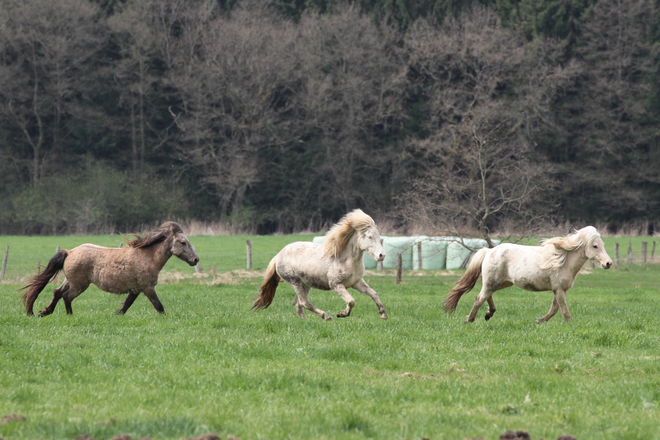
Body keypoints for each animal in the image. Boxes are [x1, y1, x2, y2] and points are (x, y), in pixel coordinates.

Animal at [21, 223, 200, 316]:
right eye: (183, 242)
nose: (195, 259)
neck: (147, 257)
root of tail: (69, 252)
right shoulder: (148, 288)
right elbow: (159, 307)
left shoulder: (135, 289)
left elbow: (126, 306)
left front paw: (116, 315)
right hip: (79, 285)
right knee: (66, 296)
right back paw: (69, 315)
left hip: (69, 281)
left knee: (57, 292)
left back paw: (44, 312)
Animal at [251, 208, 386, 322]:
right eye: (369, 236)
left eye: (379, 236)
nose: (382, 255)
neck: (346, 259)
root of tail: (278, 256)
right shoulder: (336, 284)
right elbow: (351, 301)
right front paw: (342, 314)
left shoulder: (356, 282)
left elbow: (374, 293)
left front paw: (383, 314)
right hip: (296, 283)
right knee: (304, 302)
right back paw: (326, 317)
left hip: (305, 284)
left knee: (297, 303)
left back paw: (305, 320)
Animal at [444, 227, 612, 324]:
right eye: (595, 246)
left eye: (603, 244)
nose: (608, 263)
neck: (563, 261)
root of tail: (489, 250)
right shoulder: (559, 290)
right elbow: (564, 311)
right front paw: (569, 325)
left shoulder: (558, 290)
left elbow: (554, 309)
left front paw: (540, 320)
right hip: (493, 282)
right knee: (479, 298)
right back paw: (470, 320)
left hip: (502, 282)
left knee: (486, 296)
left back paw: (488, 314)